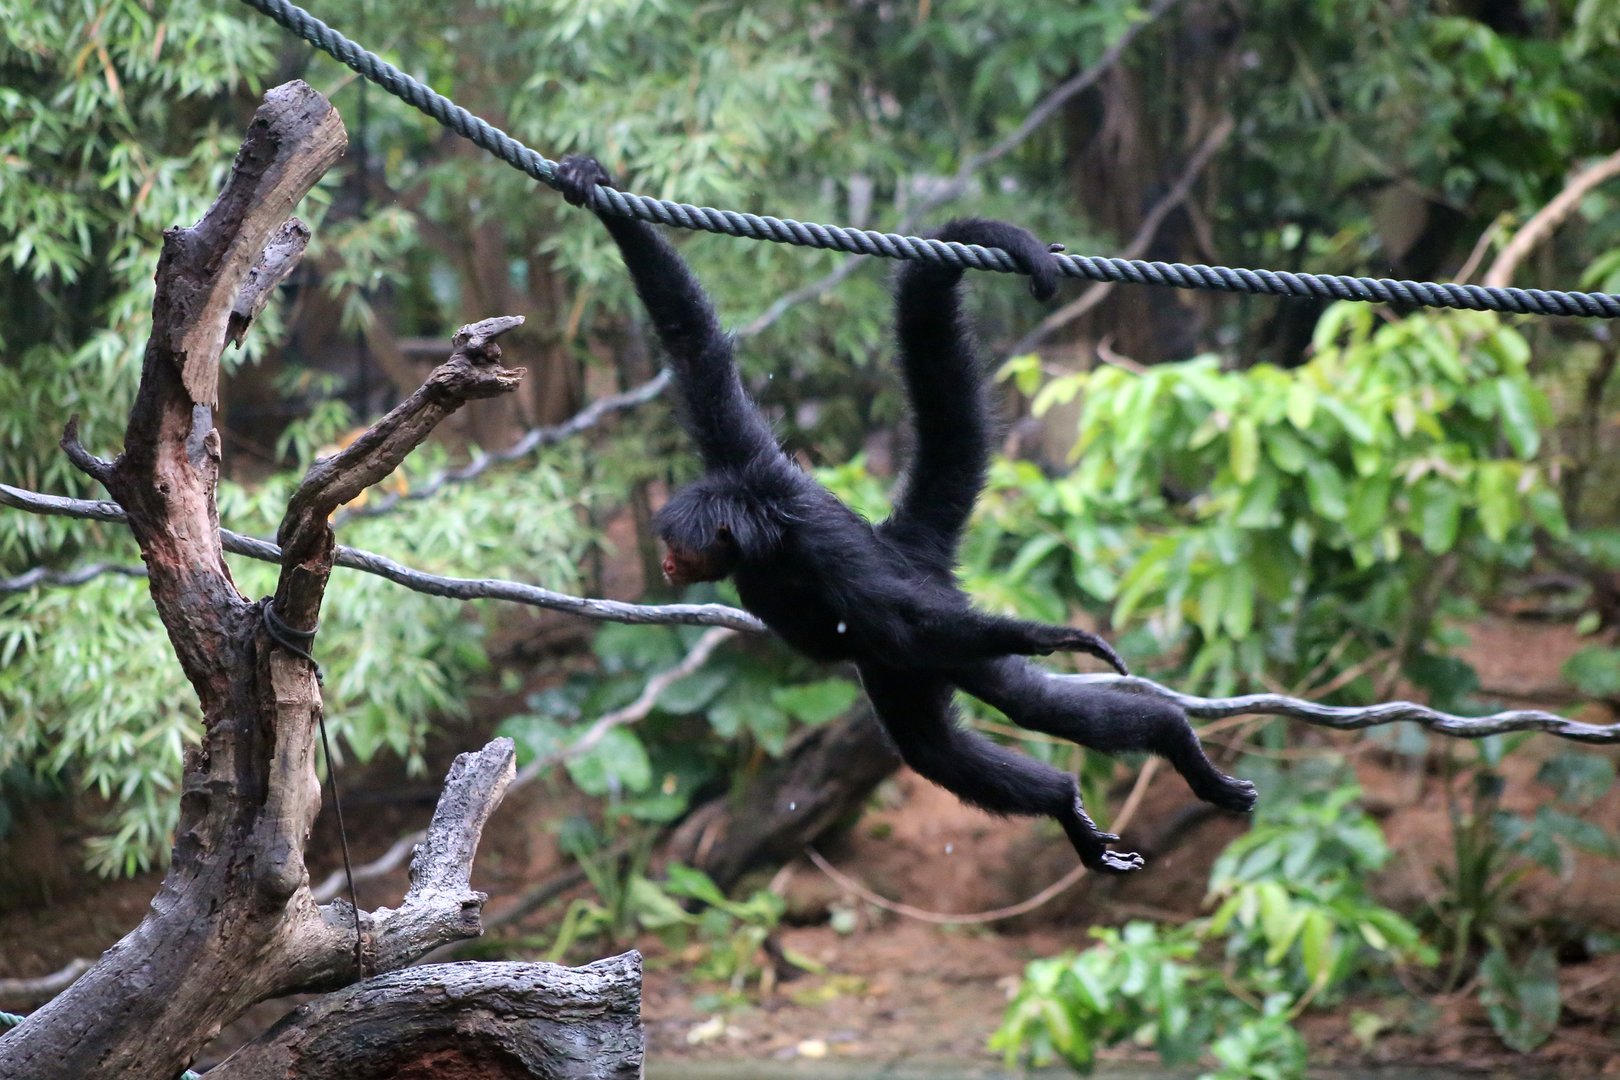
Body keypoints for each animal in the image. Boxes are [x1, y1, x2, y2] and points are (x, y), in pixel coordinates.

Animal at [558, 155, 1256, 872]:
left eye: (680, 547)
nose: (668, 563)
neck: (765, 535)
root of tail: (905, 539)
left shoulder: (822, 545)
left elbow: (909, 614)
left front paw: (1048, 637)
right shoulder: (743, 460)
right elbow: (689, 340)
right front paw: (590, 182)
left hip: (928, 638)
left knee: (1016, 697)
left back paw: (1166, 737)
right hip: (895, 671)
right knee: (935, 749)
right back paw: (1065, 802)